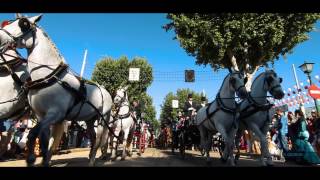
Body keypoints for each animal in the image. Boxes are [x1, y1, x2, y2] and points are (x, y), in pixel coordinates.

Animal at [0, 13, 113, 166]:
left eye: (24, 24)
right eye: (9, 23)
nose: (0, 37)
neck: (48, 77)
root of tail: (105, 91)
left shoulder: (55, 114)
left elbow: (32, 134)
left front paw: (31, 158)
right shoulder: (41, 116)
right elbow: (44, 141)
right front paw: (43, 160)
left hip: (102, 119)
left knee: (98, 141)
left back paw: (93, 160)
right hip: (90, 119)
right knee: (93, 137)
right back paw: (90, 156)